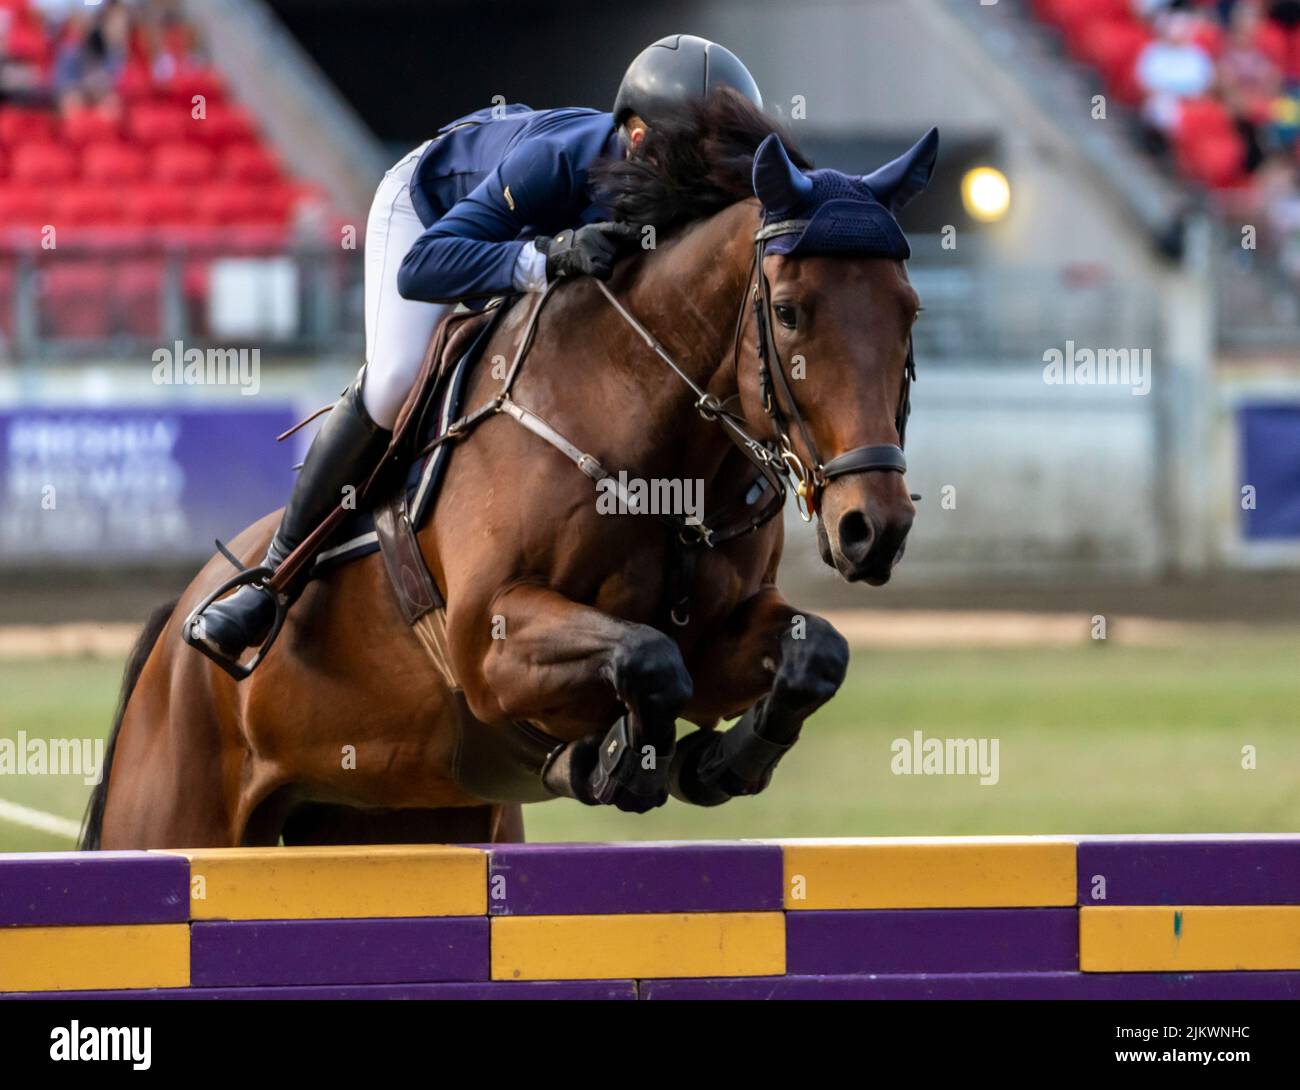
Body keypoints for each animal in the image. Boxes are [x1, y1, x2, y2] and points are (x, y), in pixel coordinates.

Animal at [78, 98, 935, 848]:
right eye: (788, 311)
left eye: (911, 311)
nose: (875, 527)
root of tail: (171, 631)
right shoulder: (489, 640)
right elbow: (648, 659)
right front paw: (617, 761)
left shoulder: (720, 635)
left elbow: (816, 654)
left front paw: (720, 762)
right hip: (172, 817)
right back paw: (240, 613)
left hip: (396, 818)